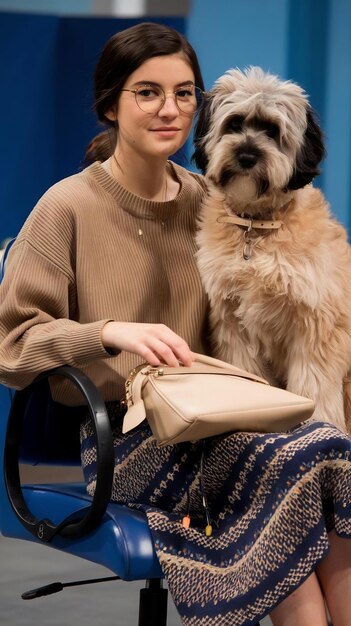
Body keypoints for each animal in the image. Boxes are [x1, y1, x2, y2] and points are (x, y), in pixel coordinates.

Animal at [194, 66, 351, 432]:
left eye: (272, 131)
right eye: (235, 123)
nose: (247, 156)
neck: (257, 227)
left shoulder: (316, 325)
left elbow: (314, 385)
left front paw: (317, 422)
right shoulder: (231, 321)